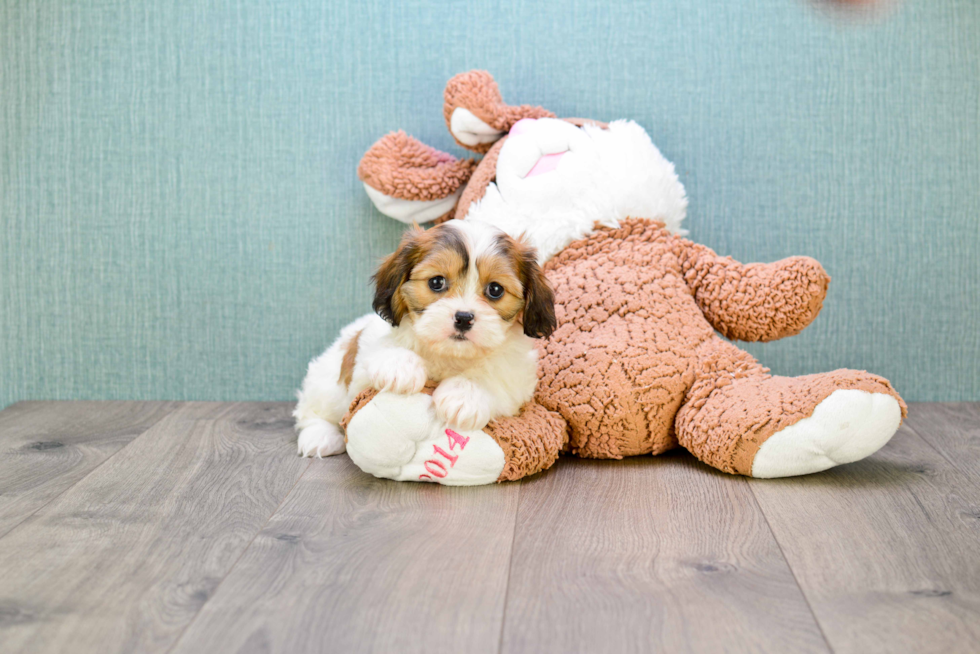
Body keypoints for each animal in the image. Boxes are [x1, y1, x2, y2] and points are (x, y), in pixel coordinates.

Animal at [290, 219, 556, 456]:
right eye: (436, 282)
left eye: (495, 289)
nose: (463, 317)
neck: (449, 354)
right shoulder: (364, 354)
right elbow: (377, 351)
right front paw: (400, 368)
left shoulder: (516, 377)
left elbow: (496, 375)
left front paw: (464, 395)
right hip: (327, 385)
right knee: (312, 410)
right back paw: (319, 436)